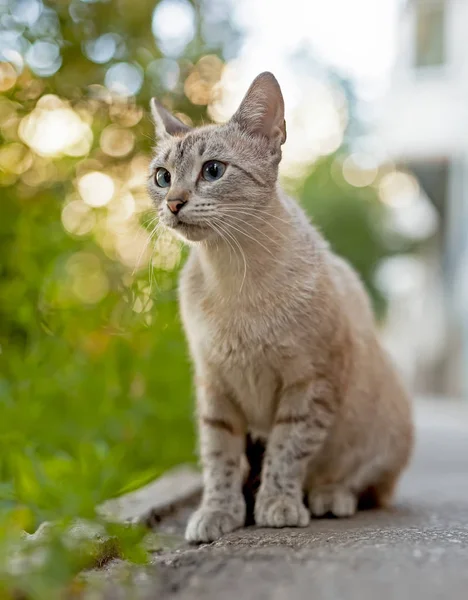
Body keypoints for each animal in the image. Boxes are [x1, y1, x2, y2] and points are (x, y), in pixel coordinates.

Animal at [147, 71, 414, 544]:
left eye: (212, 170)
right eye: (162, 177)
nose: (173, 202)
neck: (233, 275)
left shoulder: (309, 385)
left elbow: (287, 452)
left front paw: (277, 504)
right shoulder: (216, 389)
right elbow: (220, 460)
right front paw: (219, 512)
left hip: (390, 429)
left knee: (367, 485)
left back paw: (330, 496)